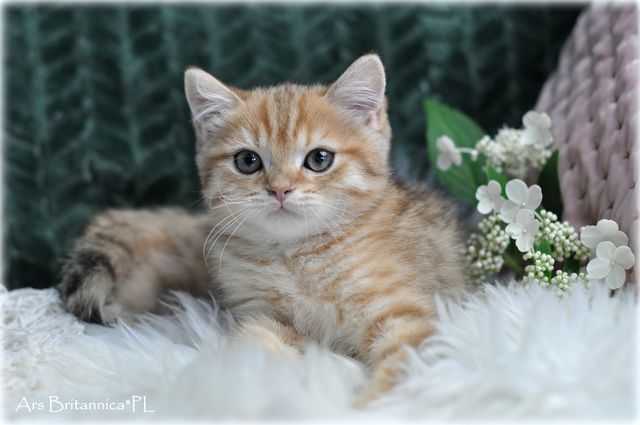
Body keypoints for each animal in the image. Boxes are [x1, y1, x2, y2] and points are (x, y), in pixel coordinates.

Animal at [58, 54, 467, 403]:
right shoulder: (263, 317)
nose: (280, 189)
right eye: (247, 161)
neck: (298, 257)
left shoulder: (412, 319)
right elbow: (251, 343)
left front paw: (371, 406)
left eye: (319, 159)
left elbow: (403, 372)